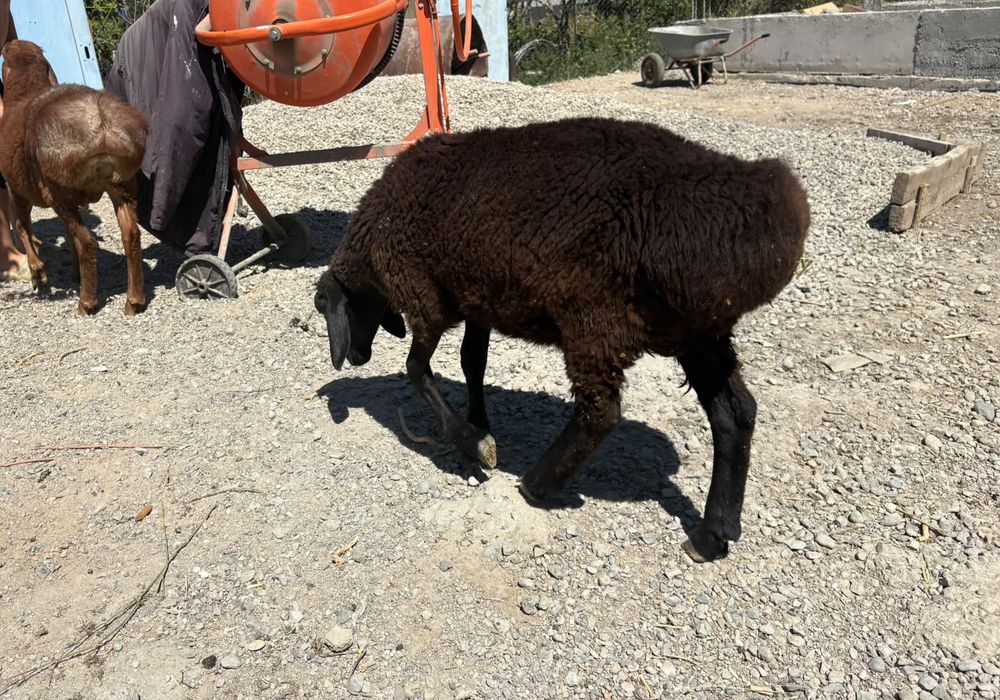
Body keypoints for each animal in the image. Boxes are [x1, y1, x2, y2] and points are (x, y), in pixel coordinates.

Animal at [0, 40, 148, 315]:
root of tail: (100, 121)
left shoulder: (18, 191)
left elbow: (23, 227)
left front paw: (38, 275)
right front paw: (71, 272)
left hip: (60, 191)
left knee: (87, 241)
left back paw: (86, 302)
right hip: (122, 183)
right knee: (130, 234)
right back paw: (133, 301)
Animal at [315, 116, 810, 563]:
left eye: (326, 306)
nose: (355, 356)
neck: (375, 240)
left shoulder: (424, 296)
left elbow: (417, 369)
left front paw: (473, 444)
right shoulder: (479, 296)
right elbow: (472, 361)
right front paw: (481, 424)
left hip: (595, 319)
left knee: (601, 414)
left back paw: (539, 484)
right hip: (698, 332)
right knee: (735, 414)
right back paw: (713, 534)